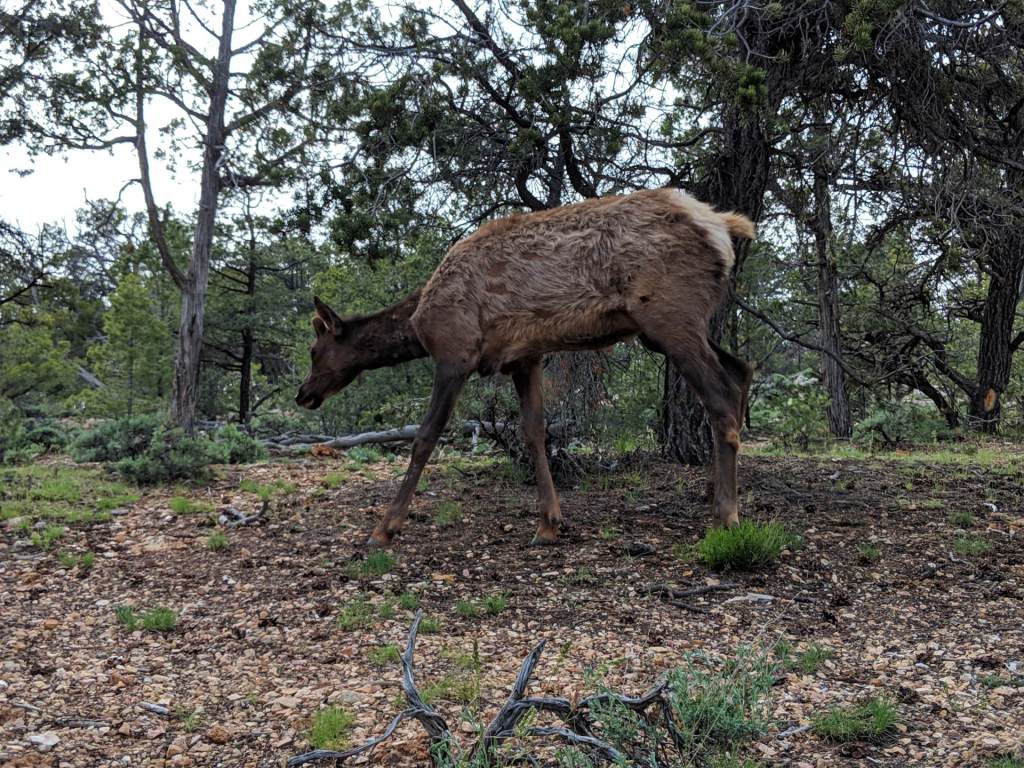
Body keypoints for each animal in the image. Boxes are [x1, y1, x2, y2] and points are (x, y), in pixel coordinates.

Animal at [296, 188, 755, 547]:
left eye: (315, 350)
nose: (303, 393)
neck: (418, 323)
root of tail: (723, 226)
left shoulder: (455, 354)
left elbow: (425, 437)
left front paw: (385, 527)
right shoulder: (523, 357)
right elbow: (534, 433)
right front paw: (549, 522)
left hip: (668, 316)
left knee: (721, 396)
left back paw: (727, 514)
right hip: (669, 327)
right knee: (741, 369)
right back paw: (715, 491)